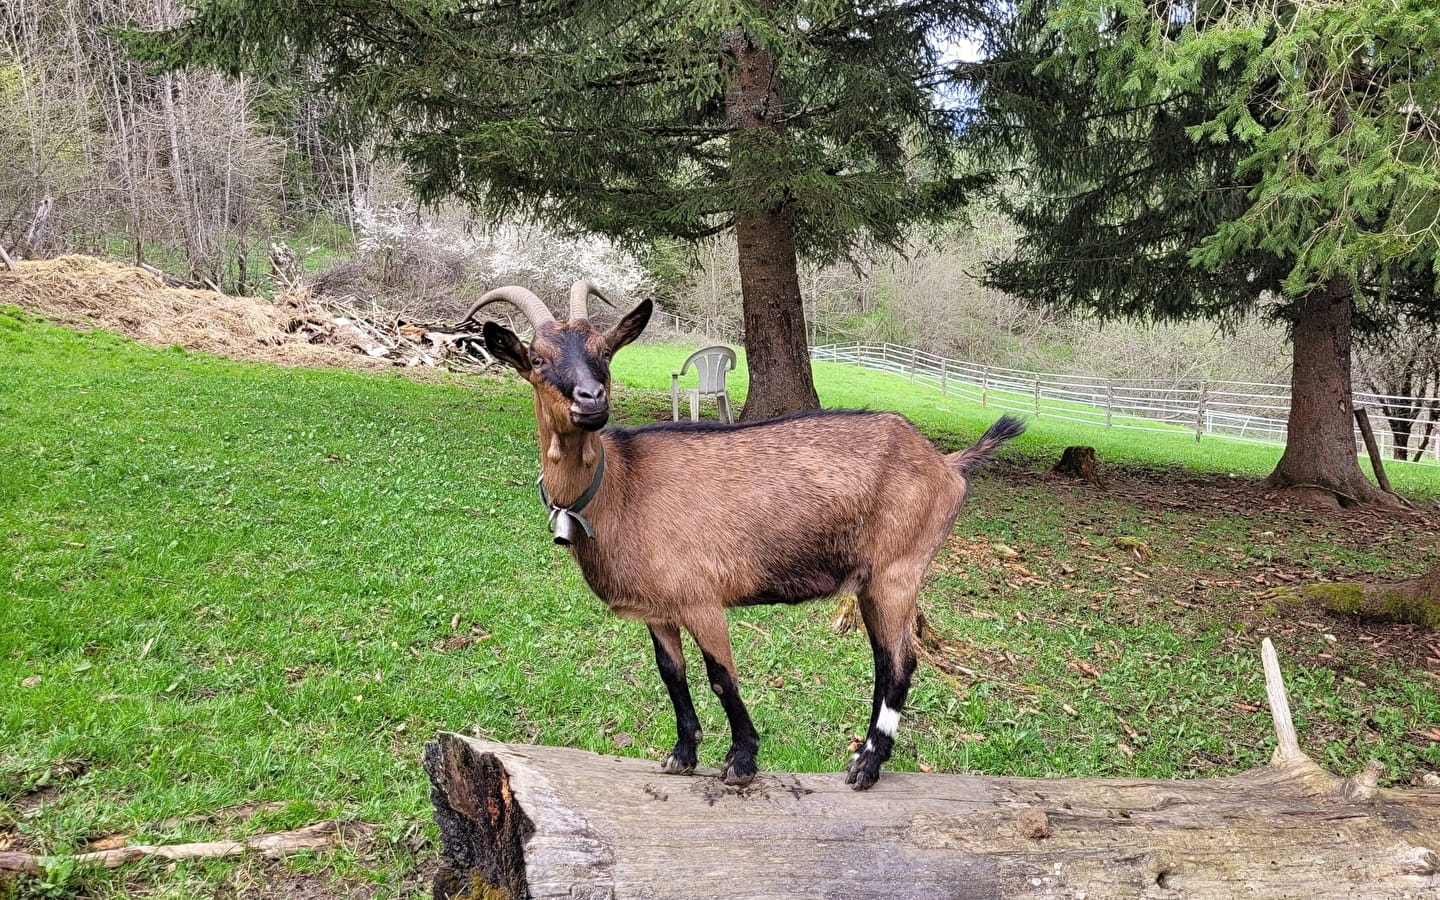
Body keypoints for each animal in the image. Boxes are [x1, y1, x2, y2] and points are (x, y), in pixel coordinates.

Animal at [478, 280, 1031, 783]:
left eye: (605, 352)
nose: (591, 399)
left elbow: (722, 677)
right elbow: (671, 675)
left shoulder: (701, 598)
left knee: (900, 664)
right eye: (536, 359)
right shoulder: (658, 610)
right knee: (883, 660)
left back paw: (867, 765)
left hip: (899, 570)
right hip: (872, 582)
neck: (621, 486)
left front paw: (741, 761)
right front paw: (682, 755)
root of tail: (947, 463)